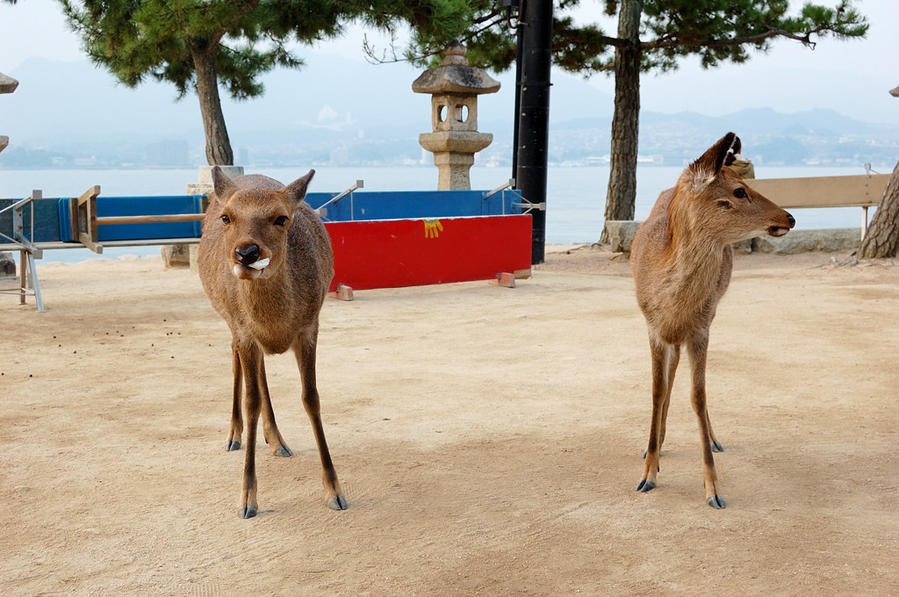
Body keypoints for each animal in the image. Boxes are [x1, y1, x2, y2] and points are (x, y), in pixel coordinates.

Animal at [199, 166, 346, 516]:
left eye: (281, 218)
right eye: (226, 217)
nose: (246, 253)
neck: (276, 322)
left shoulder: (309, 327)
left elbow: (311, 398)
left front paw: (334, 491)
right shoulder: (244, 331)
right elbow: (251, 401)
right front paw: (247, 499)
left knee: (262, 372)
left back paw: (277, 439)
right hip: (230, 323)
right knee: (235, 361)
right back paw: (234, 435)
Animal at [632, 134, 796, 508]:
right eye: (739, 191)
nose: (790, 217)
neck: (671, 304)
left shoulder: (701, 328)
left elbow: (698, 395)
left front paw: (713, 489)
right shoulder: (652, 328)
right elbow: (656, 390)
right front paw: (647, 473)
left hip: (713, 313)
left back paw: (710, 438)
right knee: (671, 374)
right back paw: (657, 446)